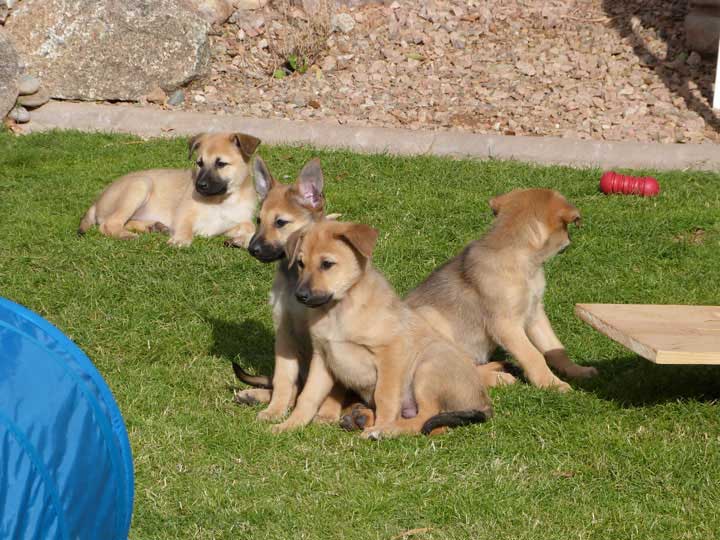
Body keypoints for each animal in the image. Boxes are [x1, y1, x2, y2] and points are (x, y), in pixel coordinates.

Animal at [78, 133, 262, 247]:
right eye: (199, 163)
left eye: (221, 164)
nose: (199, 186)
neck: (222, 200)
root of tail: (97, 201)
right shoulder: (184, 214)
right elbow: (185, 226)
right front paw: (180, 240)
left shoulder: (231, 223)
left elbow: (250, 226)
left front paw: (240, 240)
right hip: (141, 184)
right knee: (109, 224)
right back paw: (128, 236)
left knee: (125, 221)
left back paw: (154, 227)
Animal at [270, 219, 496, 438]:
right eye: (300, 264)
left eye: (327, 264)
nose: (300, 296)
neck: (338, 311)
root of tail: (483, 402)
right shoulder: (322, 358)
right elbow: (308, 397)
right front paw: (290, 424)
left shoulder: (390, 353)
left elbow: (384, 396)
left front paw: (382, 424)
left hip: (428, 368)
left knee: (425, 417)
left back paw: (384, 430)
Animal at [404, 188, 596, 390]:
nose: (570, 241)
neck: (525, 264)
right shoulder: (506, 325)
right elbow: (534, 355)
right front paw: (551, 384)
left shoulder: (535, 313)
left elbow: (554, 348)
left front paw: (578, 371)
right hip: (430, 318)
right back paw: (500, 378)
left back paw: (498, 365)